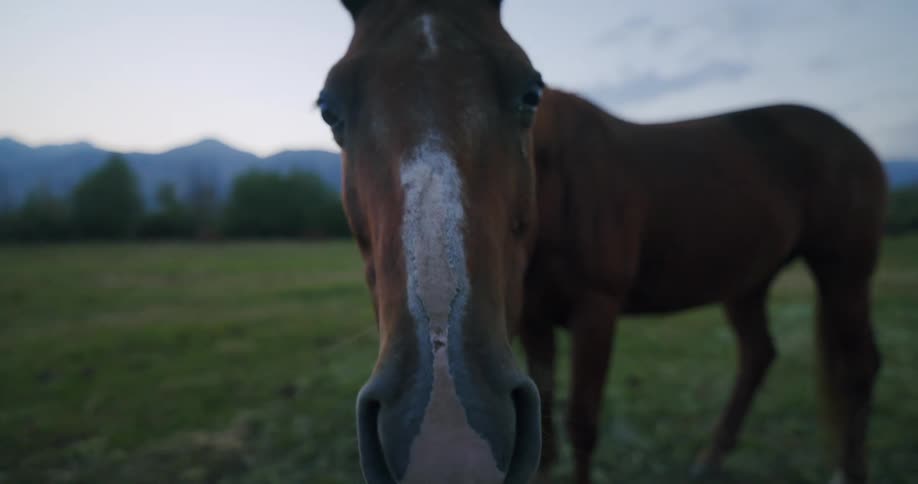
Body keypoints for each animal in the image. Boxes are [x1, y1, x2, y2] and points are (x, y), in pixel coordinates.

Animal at [523, 87, 887, 484]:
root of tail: (858, 142)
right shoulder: (534, 318)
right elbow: (540, 423)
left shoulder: (595, 308)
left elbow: (581, 423)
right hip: (749, 284)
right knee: (759, 353)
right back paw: (710, 459)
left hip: (844, 273)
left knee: (859, 367)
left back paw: (852, 470)